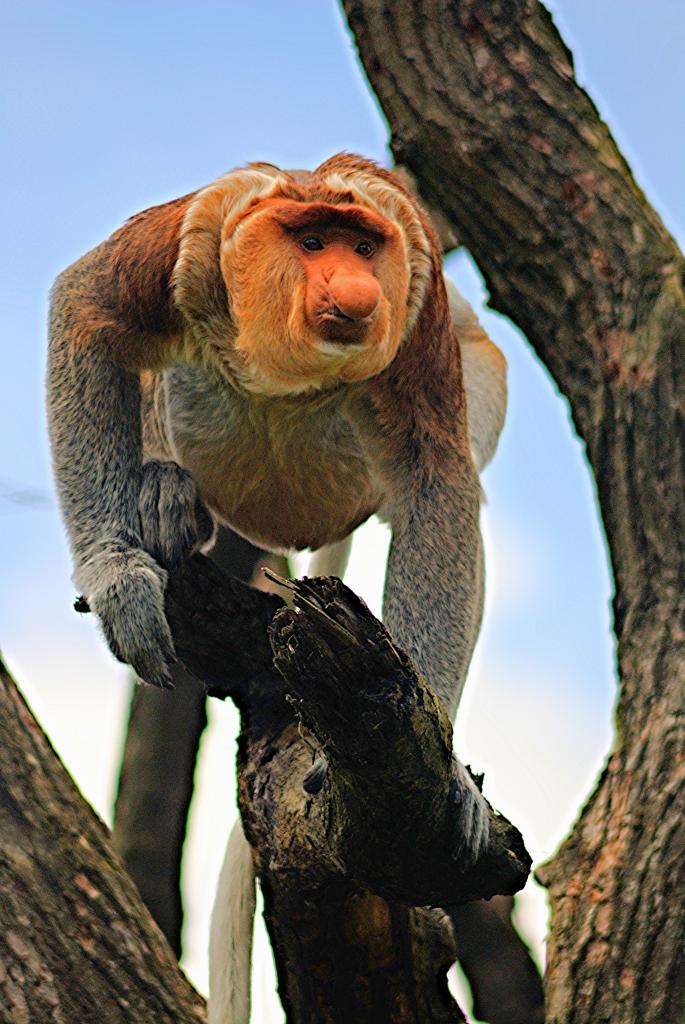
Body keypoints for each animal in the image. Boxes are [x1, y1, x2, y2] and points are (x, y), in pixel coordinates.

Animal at [46, 155, 507, 1023]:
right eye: (313, 241)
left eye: (364, 245)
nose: (355, 290)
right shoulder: (198, 230)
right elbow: (87, 305)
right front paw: (118, 578)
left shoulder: (420, 298)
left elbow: (436, 481)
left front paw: (451, 783)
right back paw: (165, 498)